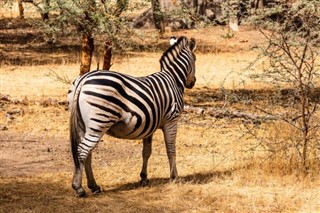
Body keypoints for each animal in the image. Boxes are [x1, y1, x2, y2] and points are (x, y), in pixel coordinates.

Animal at [69, 36, 196, 196]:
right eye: (195, 60)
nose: (193, 83)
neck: (173, 79)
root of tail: (83, 79)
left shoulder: (151, 124)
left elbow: (146, 152)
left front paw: (144, 178)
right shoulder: (171, 120)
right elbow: (171, 149)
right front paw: (174, 177)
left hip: (83, 124)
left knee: (87, 153)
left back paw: (94, 186)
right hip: (99, 122)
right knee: (82, 151)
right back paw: (78, 188)